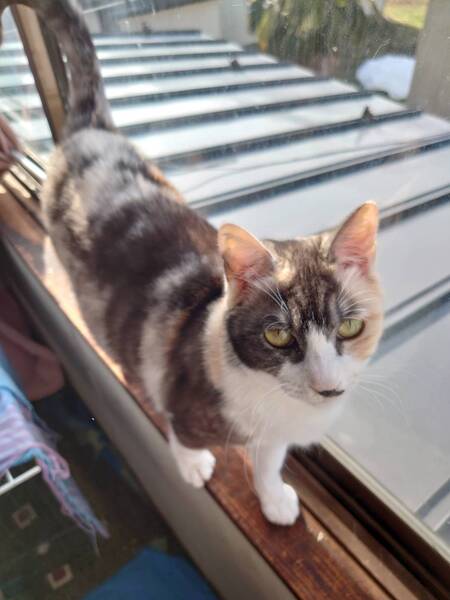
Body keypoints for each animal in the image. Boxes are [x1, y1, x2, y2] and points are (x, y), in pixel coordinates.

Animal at [0, 0, 383, 525]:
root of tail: (89, 132)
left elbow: (269, 458)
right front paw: (192, 464)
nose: (327, 388)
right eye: (277, 335)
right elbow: (179, 427)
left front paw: (273, 497)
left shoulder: (274, 431)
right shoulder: (185, 396)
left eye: (349, 327)